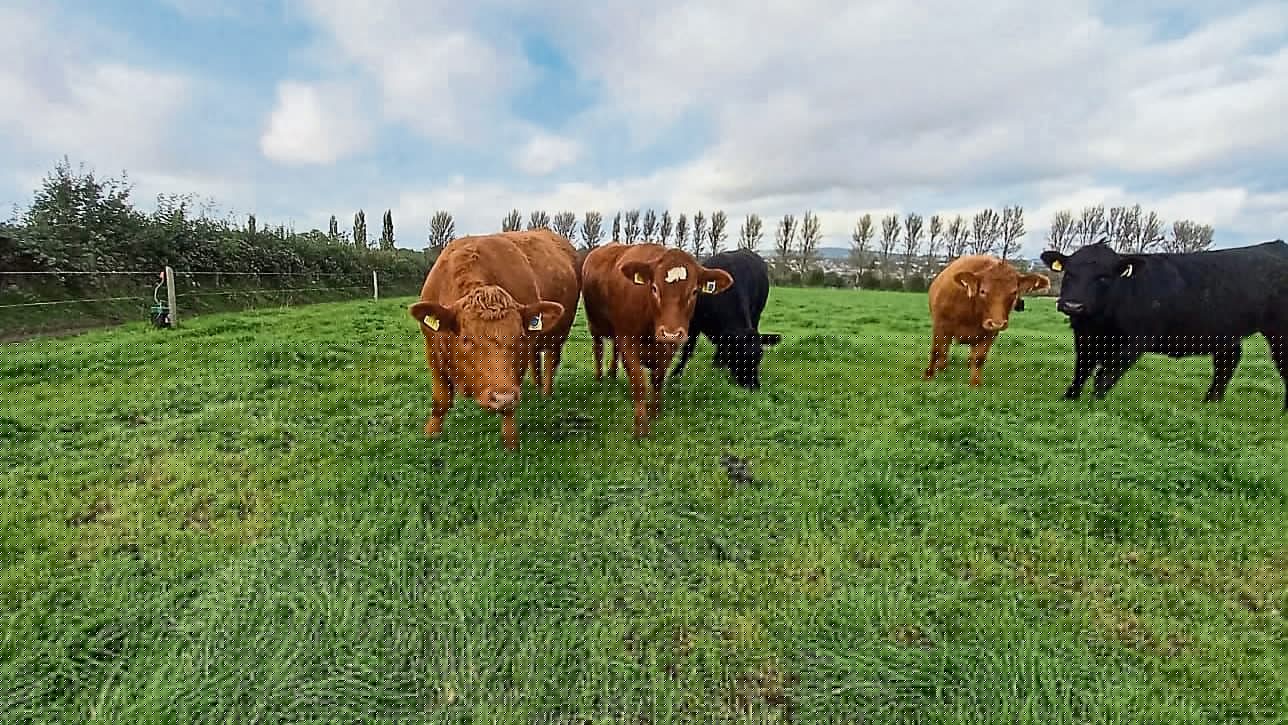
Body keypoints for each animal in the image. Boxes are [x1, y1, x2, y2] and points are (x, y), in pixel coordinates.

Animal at [408, 229, 581, 450]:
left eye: (518, 337)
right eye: (466, 339)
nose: (502, 398)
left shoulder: (520, 358)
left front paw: (510, 439)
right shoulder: (432, 350)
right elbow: (441, 399)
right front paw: (432, 432)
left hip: (559, 334)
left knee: (550, 361)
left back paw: (545, 393)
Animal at [581, 242, 734, 437]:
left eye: (694, 291)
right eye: (654, 288)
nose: (670, 333)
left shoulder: (669, 349)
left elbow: (658, 379)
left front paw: (655, 412)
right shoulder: (627, 341)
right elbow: (639, 382)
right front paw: (641, 427)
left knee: (614, 350)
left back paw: (613, 374)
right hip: (594, 325)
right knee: (598, 349)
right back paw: (600, 378)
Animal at [668, 249, 782, 389]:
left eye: (759, 357)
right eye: (739, 356)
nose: (754, 386)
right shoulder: (694, 322)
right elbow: (687, 350)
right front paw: (675, 375)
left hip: (756, 315)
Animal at [924, 254, 1051, 387]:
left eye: (1014, 292)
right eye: (983, 291)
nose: (997, 323)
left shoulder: (989, 333)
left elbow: (979, 358)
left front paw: (975, 384)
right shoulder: (940, 325)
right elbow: (936, 350)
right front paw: (928, 376)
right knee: (944, 348)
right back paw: (942, 366)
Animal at [1040, 240, 1288, 408]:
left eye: (1103, 277)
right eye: (1069, 273)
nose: (1073, 305)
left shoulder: (1135, 342)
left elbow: (1104, 376)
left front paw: (1093, 406)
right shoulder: (1085, 337)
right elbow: (1081, 371)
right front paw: (1069, 398)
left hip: (1279, 333)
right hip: (1226, 334)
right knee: (1227, 364)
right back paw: (1210, 402)